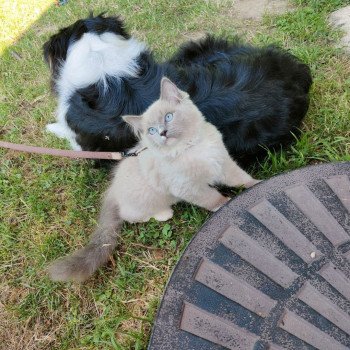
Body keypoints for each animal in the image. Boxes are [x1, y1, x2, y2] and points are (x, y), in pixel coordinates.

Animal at [47, 78, 258, 282]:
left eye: (168, 117)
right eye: (151, 130)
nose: (162, 132)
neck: (191, 147)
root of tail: (113, 189)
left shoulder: (223, 164)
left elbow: (240, 179)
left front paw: (256, 185)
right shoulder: (188, 187)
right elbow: (212, 199)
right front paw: (226, 203)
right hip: (145, 203)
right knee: (131, 216)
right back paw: (164, 213)